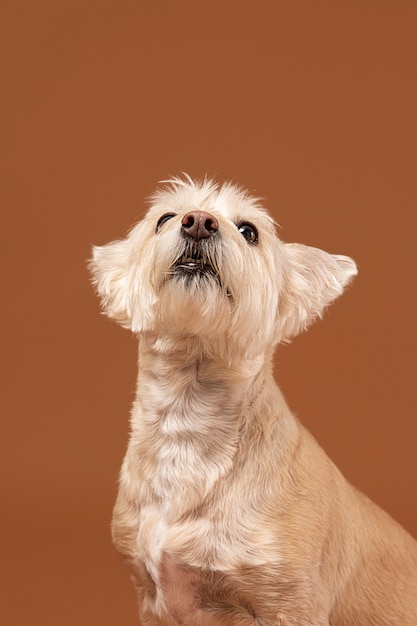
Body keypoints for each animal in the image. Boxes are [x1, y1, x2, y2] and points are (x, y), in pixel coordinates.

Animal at [90, 177, 416, 624]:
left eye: (249, 231)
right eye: (165, 217)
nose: (199, 222)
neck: (188, 420)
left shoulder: (290, 603)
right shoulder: (150, 596)